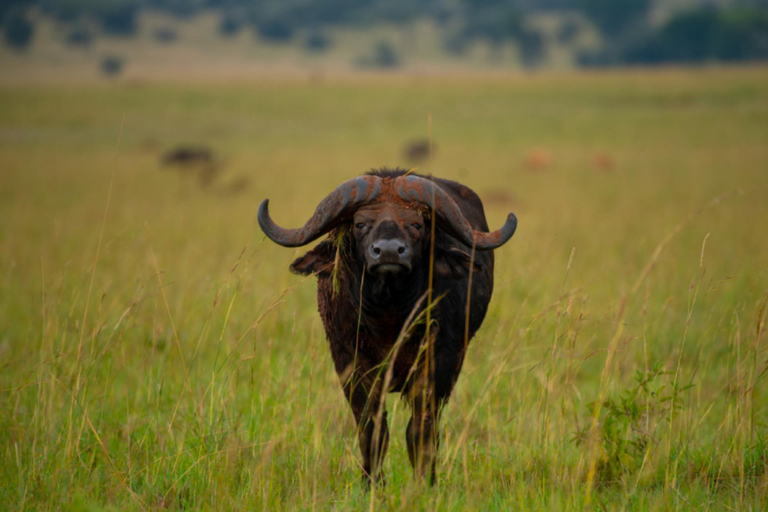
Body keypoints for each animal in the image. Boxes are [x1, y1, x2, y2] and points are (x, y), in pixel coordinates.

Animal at [258, 168, 516, 484]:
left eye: (417, 224)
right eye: (360, 224)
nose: (390, 252)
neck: (389, 318)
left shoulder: (439, 364)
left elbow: (421, 433)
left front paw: (425, 483)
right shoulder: (349, 363)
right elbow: (372, 431)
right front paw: (371, 484)